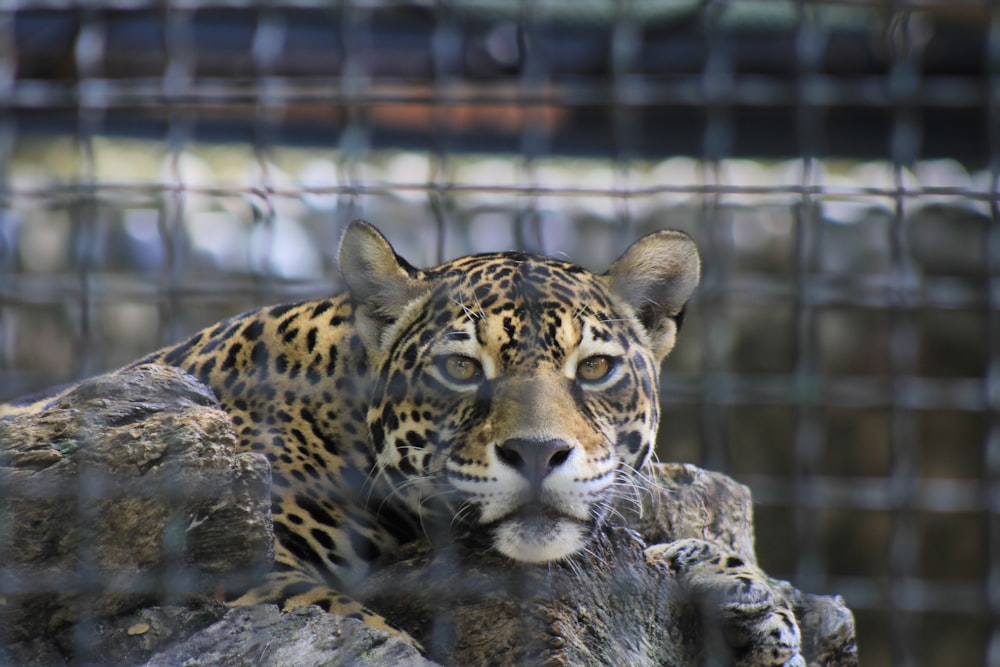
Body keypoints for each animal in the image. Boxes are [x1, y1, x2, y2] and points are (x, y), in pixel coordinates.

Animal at [0, 222, 800, 664]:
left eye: (596, 368)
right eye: (460, 368)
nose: (537, 454)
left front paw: (750, 595)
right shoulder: (227, 557)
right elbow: (339, 613)